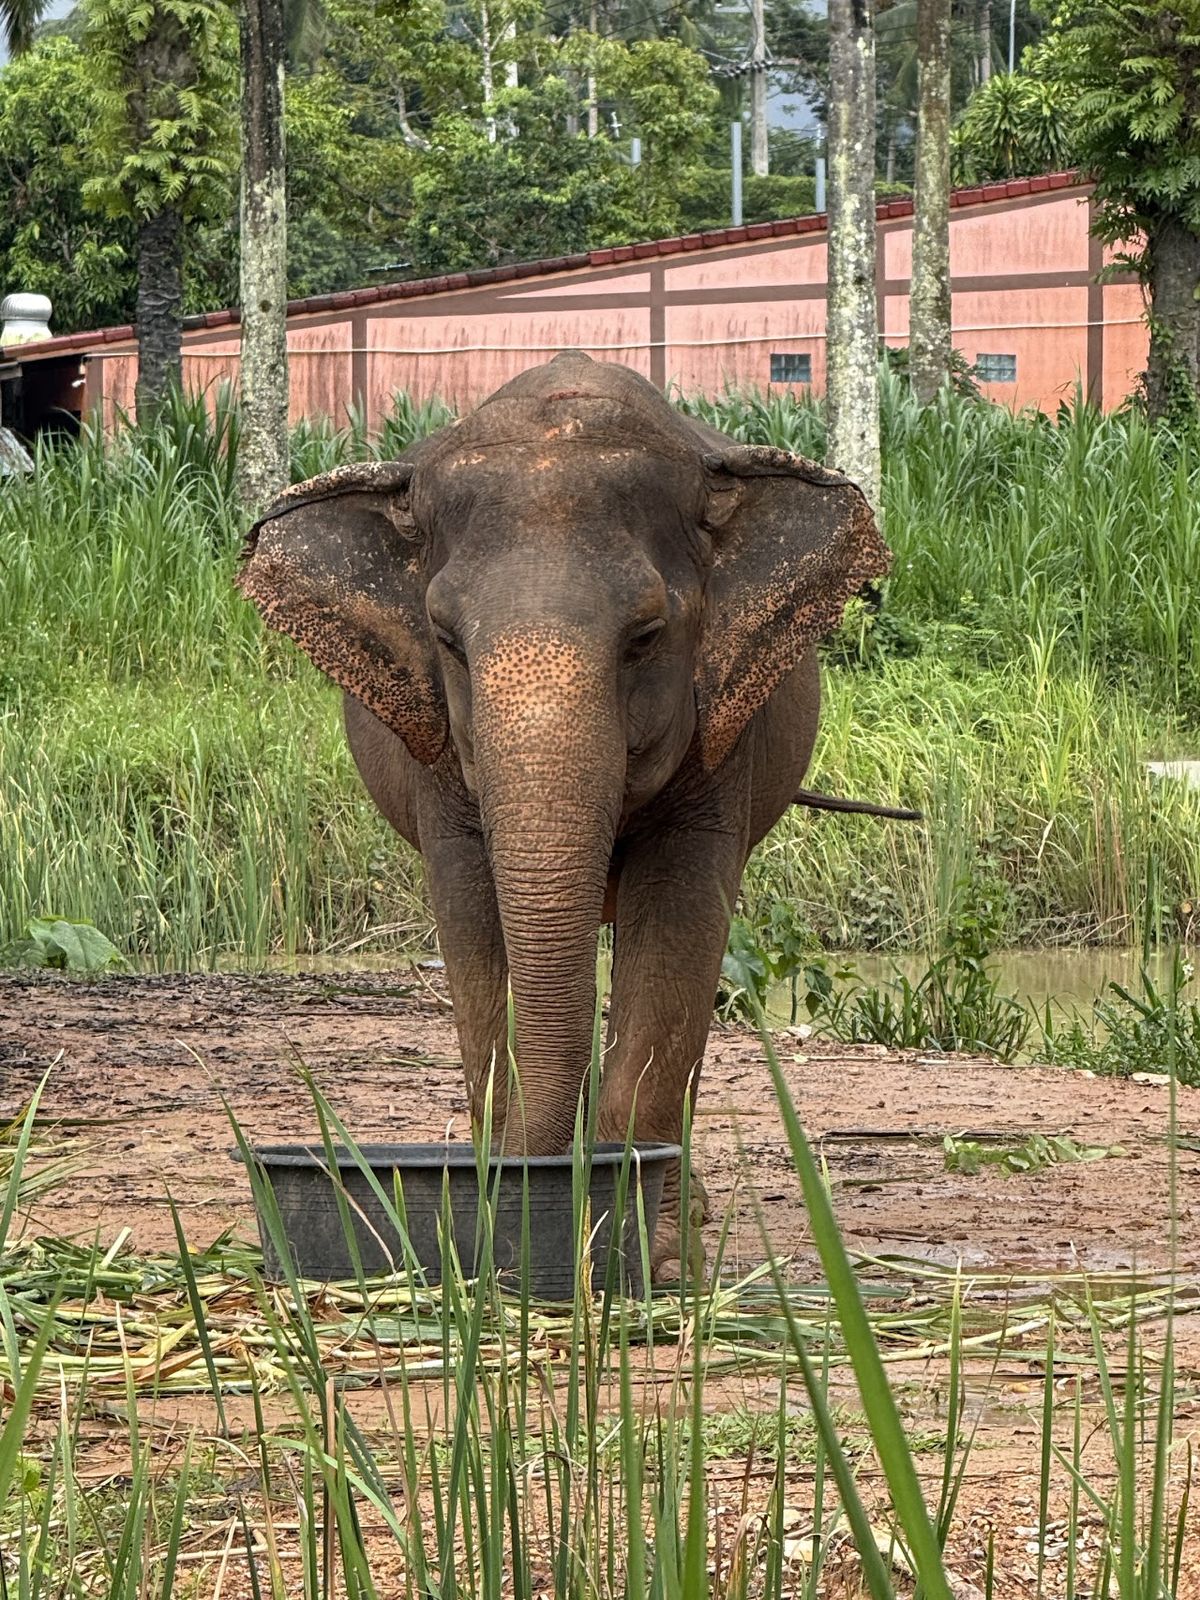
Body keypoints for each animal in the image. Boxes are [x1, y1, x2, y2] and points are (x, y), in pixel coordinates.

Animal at [237, 351, 891, 1275]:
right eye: (445, 639)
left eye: (646, 635)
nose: (527, 1180)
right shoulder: (440, 767)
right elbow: (477, 934)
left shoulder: (724, 745)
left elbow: (678, 933)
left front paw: (649, 1255)